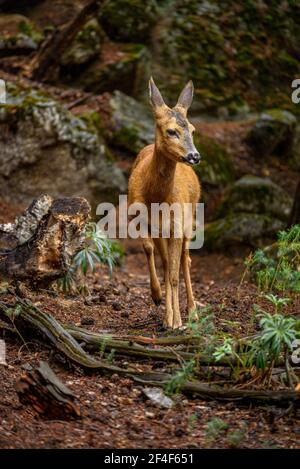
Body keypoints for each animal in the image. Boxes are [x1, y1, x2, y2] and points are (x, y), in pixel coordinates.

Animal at [127, 77, 200, 330]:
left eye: (192, 130)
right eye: (171, 131)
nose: (194, 156)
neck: (156, 198)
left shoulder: (177, 224)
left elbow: (175, 274)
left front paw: (176, 321)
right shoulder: (137, 216)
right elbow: (150, 251)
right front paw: (157, 296)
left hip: (191, 217)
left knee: (185, 259)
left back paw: (192, 311)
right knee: (169, 262)